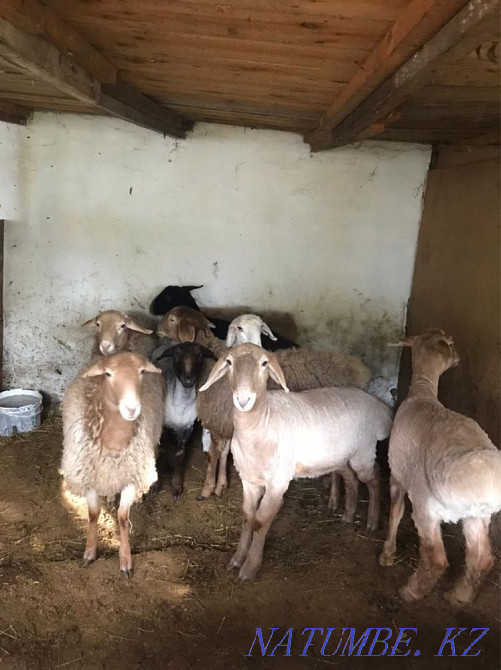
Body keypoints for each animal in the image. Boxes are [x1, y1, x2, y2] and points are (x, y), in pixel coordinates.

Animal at [61, 352, 165, 577]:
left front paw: (126, 561)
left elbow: (123, 517)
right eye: (108, 374)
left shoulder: (131, 478)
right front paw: (89, 553)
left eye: (141, 371)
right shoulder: (88, 478)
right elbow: (93, 514)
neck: (113, 443)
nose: (132, 408)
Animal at [151, 342, 215, 499]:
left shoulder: (187, 430)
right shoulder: (163, 428)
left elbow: (179, 458)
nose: (188, 379)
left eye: (200, 354)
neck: (181, 405)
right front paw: (155, 485)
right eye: (176, 354)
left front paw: (176, 487)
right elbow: (159, 453)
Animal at [199, 343, 392, 582]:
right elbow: (247, 517)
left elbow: (260, 521)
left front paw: (250, 567)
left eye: (264, 364)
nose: (243, 400)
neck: (263, 422)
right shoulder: (249, 480)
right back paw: (348, 514)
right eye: (229, 362)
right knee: (351, 478)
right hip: (340, 456)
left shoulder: (277, 484)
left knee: (374, 476)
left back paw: (372, 521)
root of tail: (379, 406)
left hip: (363, 452)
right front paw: (237, 558)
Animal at [379, 329, 501, 606]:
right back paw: (459, 595)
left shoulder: (397, 475)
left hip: (427, 505)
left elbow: (395, 512)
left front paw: (388, 553)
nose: (458, 358)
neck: (422, 391)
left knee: (436, 559)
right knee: (481, 558)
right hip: (477, 516)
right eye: (451, 344)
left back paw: (410, 592)